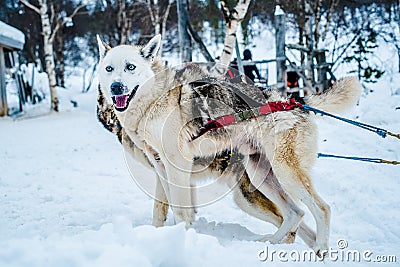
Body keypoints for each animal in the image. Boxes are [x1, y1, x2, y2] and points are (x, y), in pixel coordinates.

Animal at [97, 34, 362, 256]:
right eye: (109, 69)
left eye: (130, 67)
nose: (116, 87)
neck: (155, 99)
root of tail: (294, 100)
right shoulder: (161, 168)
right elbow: (163, 208)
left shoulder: (177, 167)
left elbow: (181, 210)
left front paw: (182, 242)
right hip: (262, 176)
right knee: (295, 213)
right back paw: (269, 243)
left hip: (284, 174)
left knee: (321, 208)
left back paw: (321, 250)